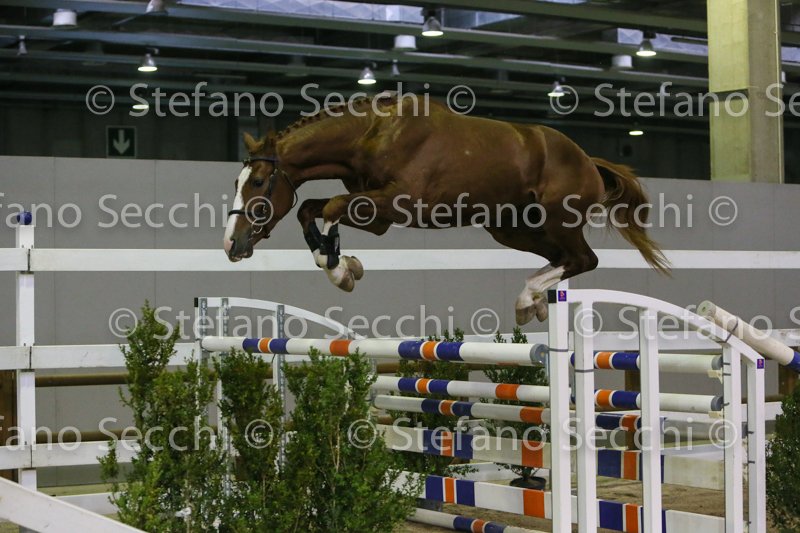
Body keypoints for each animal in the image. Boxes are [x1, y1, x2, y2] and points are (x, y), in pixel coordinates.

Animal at [223, 94, 668, 325]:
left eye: (258, 183)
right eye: (236, 183)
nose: (231, 244)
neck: (372, 135)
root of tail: (588, 160)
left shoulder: (395, 203)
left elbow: (329, 207)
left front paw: (340, 270)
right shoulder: (377, 215)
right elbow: (309, 209)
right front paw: (342, 265)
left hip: (559, 220)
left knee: (582, 258)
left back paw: (528, 298)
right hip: (510, 227)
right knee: (562, 258)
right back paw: (537, 301)